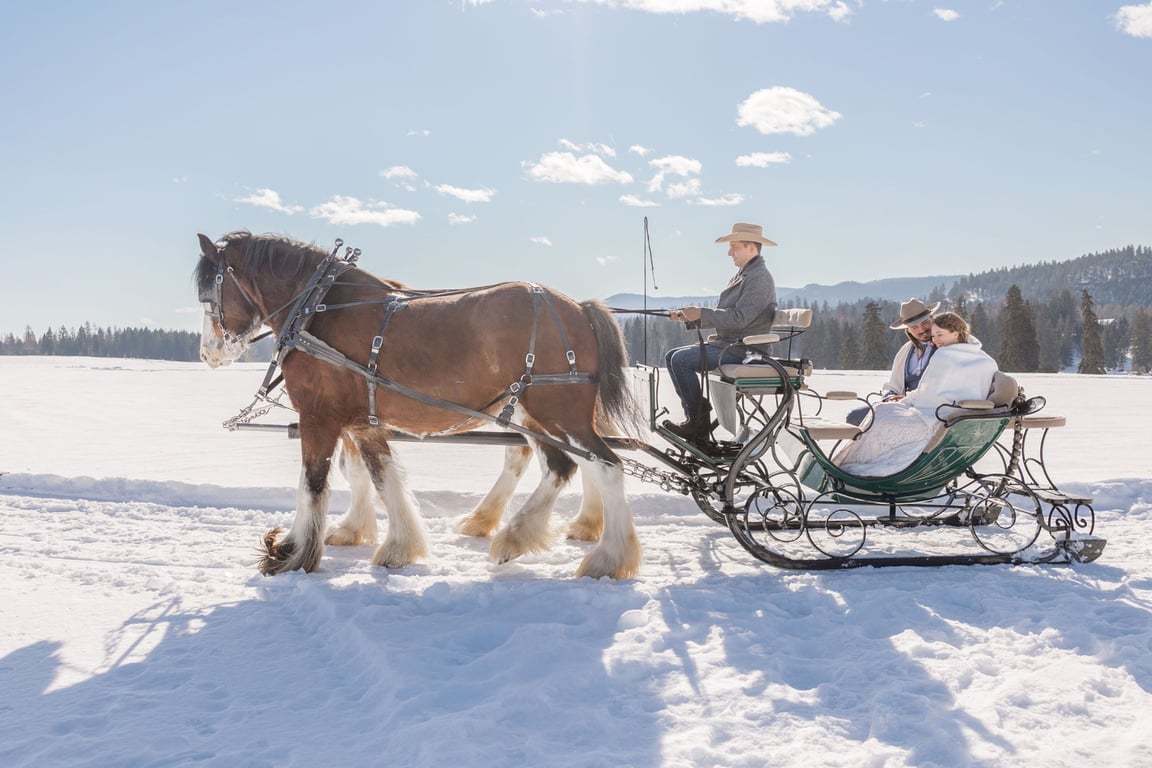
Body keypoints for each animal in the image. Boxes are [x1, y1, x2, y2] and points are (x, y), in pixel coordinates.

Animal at [192, 231, 635, 580]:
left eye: (207, 294)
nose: (207, 354)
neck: (315, 309)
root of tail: (580, 308)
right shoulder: (362, 423)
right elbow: (380, 477)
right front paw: (396, 546)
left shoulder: (319, 417)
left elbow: (312, 485)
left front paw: (290, 555)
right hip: (537, 413)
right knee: (560, 465)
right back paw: (522, 534)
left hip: (557, 412)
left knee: (604, 466)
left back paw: (605, 558)